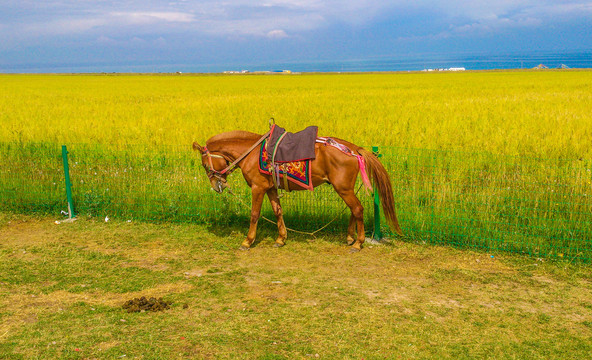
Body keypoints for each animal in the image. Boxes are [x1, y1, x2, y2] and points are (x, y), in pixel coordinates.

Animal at [192, 131, 404, 252]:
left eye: (205, 165)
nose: (216, 186)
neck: (250, 153)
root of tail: (353, 148)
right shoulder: (270, 188)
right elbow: (278, 211)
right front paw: (281, 238)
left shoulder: (258, 188)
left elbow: (254, 214)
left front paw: (248, 241)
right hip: (345, 188)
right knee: (354, 209)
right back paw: (351, 237)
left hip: (343, 188)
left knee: (358, 209)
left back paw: (358, 243)